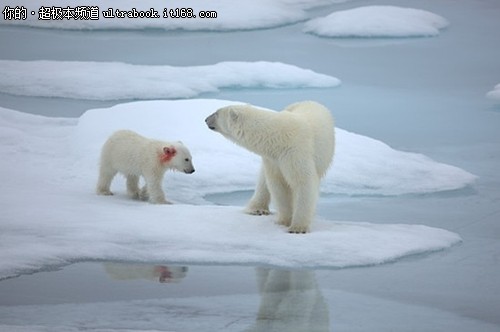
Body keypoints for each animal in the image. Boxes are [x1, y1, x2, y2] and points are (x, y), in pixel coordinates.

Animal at [205, 101, 334, 233]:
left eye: (216, 113)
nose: (206, 119)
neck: (278, 138)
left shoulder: (296, 152)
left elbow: (303, 182)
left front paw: (297, 228)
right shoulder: (273, 159)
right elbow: (278, 185)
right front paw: (284, 220)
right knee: (263, 180)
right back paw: (257, 209)